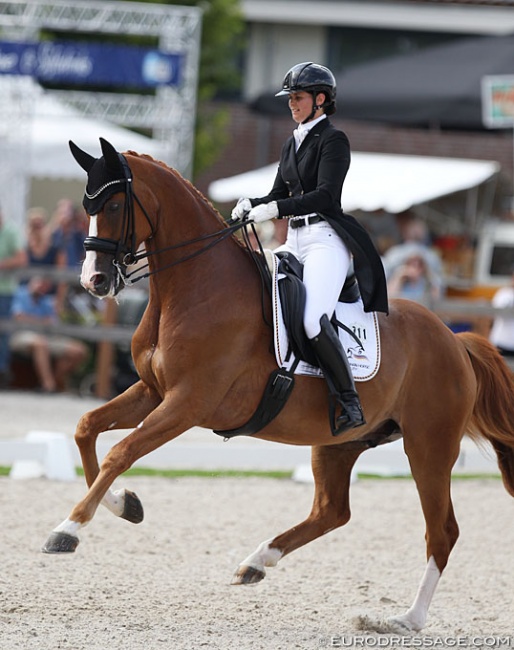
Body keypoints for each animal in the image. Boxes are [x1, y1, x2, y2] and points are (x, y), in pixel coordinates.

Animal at [43, 137, 512, 628]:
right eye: (86, 206)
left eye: (115, 204)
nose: (93, 280)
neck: (196, 288)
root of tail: (454, 339)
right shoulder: (153, 393)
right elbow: (87, 428)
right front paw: (124, 506)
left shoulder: (186, 403)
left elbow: (121, 451)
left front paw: (67, 530)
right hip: (339, 442)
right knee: (332, 511)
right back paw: (256, 561)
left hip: (429, 447)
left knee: (441, 531)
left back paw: (405, 619)